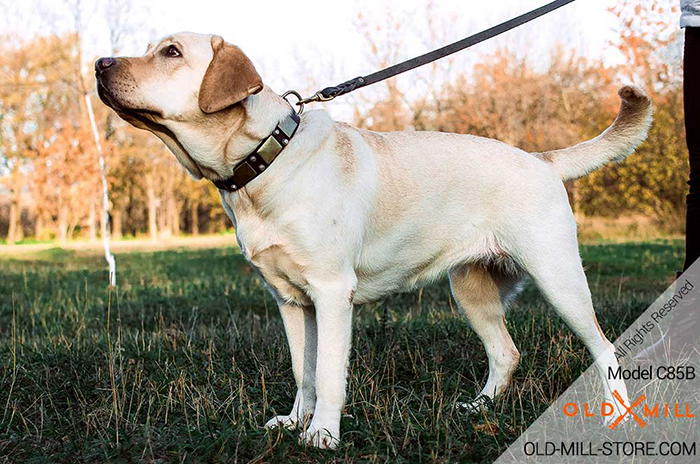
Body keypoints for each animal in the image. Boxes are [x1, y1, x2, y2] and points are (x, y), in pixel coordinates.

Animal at [94, 30, 652, 448]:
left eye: (171, 53)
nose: (98, 62)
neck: (266, 160)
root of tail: (542, 159)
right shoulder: (290, 301)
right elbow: (303, 371)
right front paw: (295, 422)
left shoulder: (330, 293)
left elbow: (327, 375)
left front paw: (322, 436)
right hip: (469, 289)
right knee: (506, 353)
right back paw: (477, 408)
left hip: (558, 278)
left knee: (605, 347)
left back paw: (615, 418)